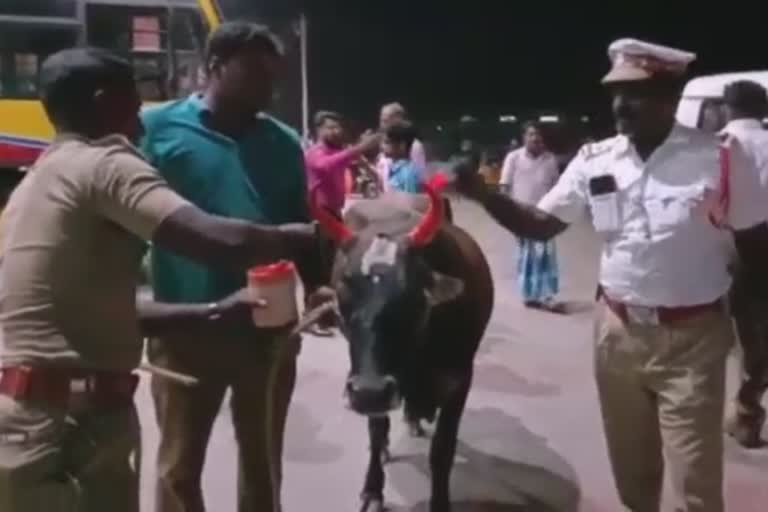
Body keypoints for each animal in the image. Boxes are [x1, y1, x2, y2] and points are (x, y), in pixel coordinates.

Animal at [310, 181, 496, 512]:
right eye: (343, 301)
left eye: (413, 299)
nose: (369, 392)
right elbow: (376, 432)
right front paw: (372, 490)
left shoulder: (460, 382)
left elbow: (442, 451)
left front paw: (440, 503)